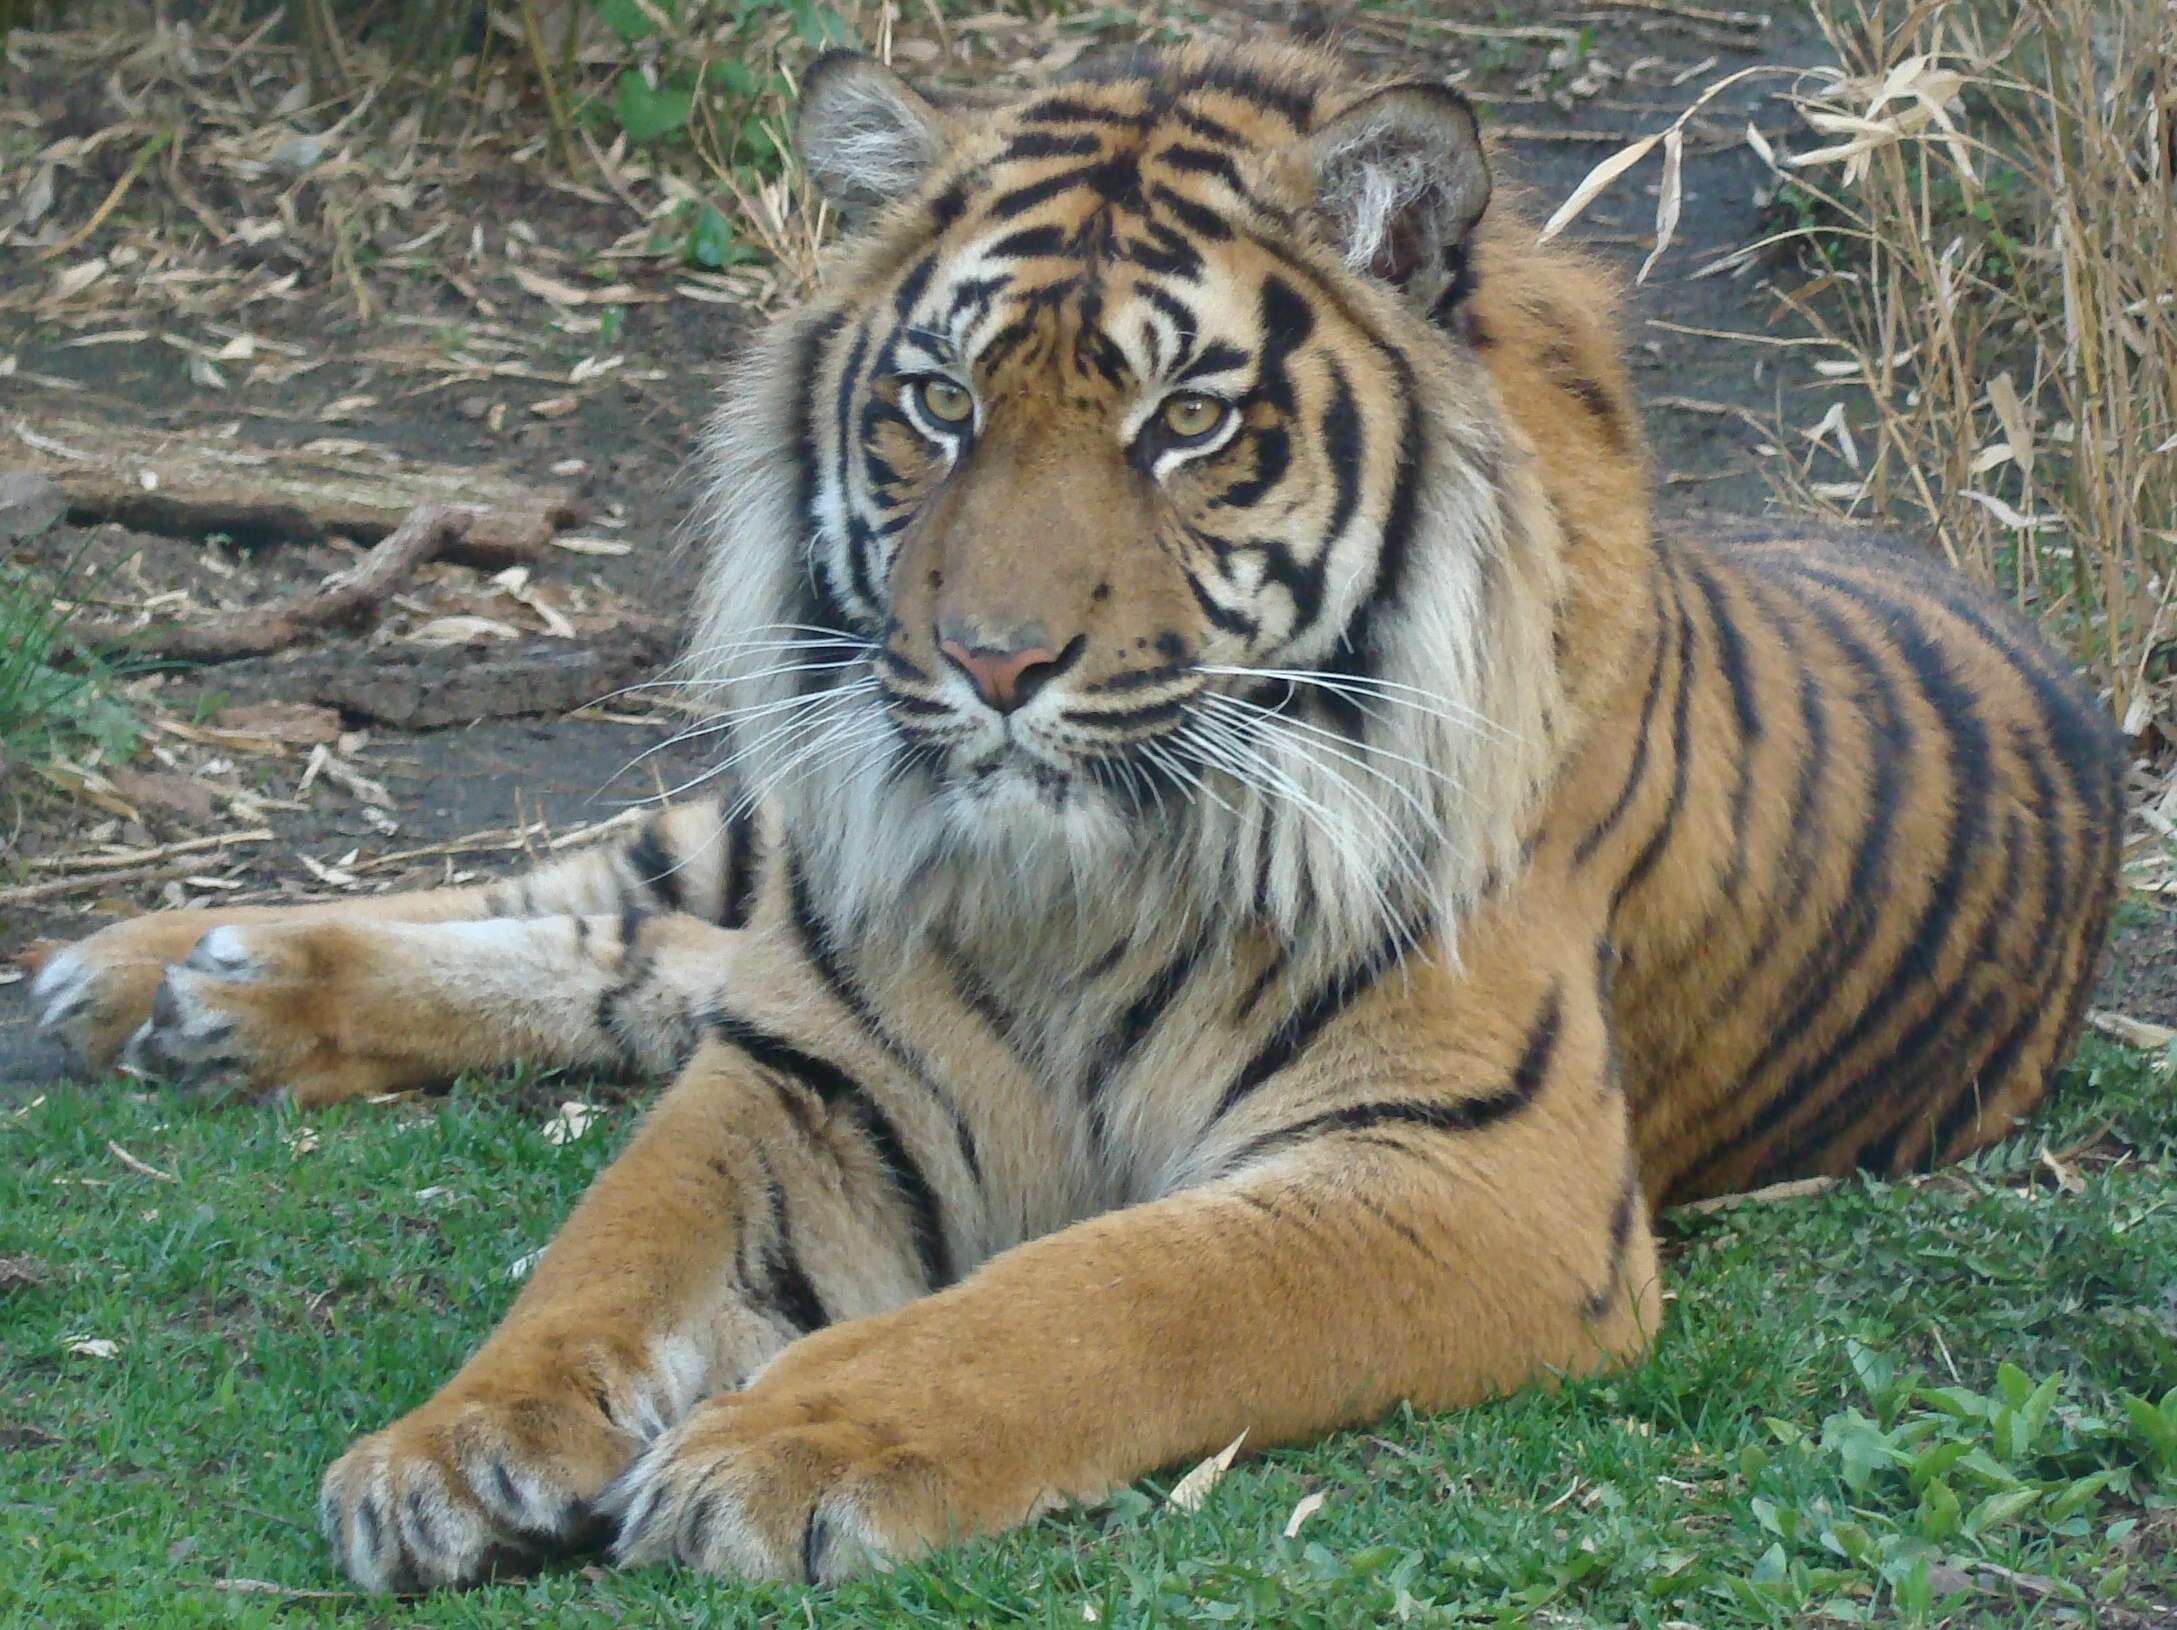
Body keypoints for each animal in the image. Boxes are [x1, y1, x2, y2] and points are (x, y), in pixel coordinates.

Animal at [25, 41, 2116, 1593]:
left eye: (1185, 421)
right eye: (940, 402)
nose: (992, 663)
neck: (1086, 882)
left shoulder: (1472, 1171)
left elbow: (1108, 1294)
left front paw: (782, 1446)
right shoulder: (814, 1064)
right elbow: (605, 1253)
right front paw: (447, 1446)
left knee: (640, 965)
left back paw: (200, 994)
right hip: (774, 831)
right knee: (610, 907)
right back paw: (155, 977)